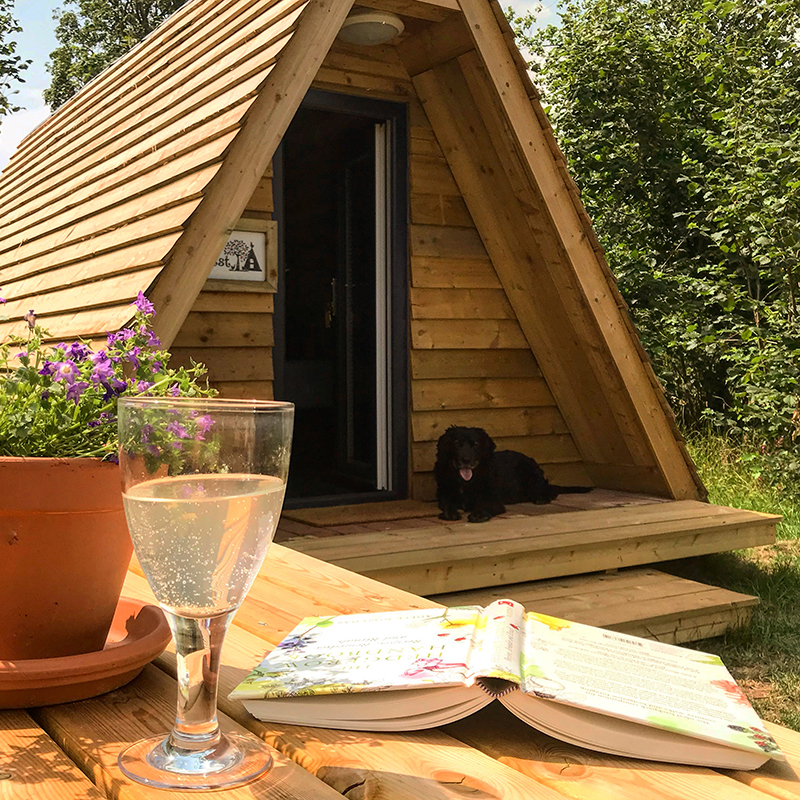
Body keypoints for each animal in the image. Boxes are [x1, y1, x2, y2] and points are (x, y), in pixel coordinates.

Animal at [434, 428, 592, 520]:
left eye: (476, 444)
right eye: (456, 443)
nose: (466, 460)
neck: (466, 482)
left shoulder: (493, 499)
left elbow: (484, 505)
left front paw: (479, 514)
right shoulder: (444, 496)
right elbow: (448, 504)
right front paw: (450, 513)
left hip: (532, 479)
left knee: (548, 490)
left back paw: (543, 498)